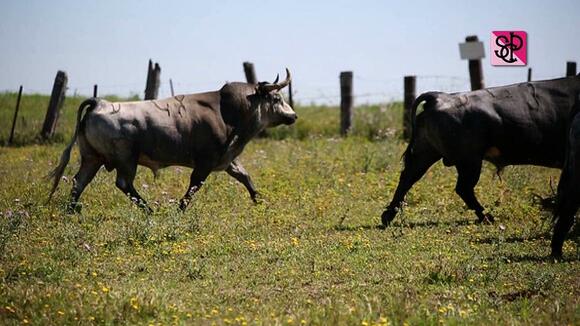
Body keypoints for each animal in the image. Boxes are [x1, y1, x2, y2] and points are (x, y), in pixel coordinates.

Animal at [47, 68, 296, 213]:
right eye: (276, 98)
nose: (293, 115)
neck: (226, 111)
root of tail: (100, 103)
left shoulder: (227, 160)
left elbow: (245, 177)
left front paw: (260, 201)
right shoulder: (205, 162)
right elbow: (194, 187)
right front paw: (179, 210)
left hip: (92, 158)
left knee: (79, 182)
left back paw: (72, 211)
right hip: (126, 159)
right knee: (124, 183)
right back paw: (149, 210)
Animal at [380, 76, 580, 258]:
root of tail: (439, 96)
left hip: (427, 153)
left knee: (408, 178)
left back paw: (388, 216)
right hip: (469, 161)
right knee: (462, 188)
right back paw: (489, 218)